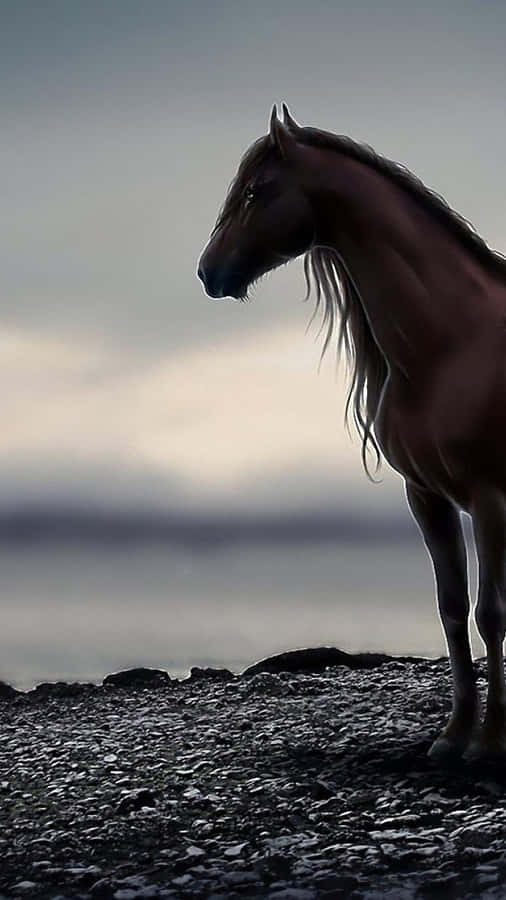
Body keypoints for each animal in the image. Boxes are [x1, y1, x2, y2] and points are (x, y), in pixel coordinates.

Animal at [197, 104, 506, 763]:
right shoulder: (428, 497)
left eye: (256, 191)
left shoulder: (491, 499)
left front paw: (491, 739)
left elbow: (491, 613)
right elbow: (451, 609)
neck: (454, 344)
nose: (208, 270)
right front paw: (453, 734)